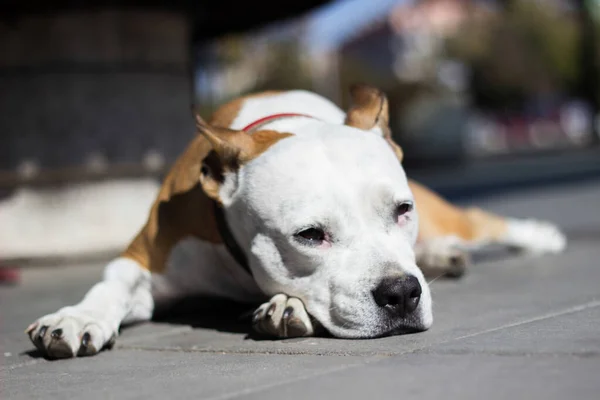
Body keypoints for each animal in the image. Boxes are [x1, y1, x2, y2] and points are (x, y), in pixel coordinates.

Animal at [24, 85, 568, 360]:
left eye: (401, 210)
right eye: (310, 235)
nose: (401, 293)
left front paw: (285, 305)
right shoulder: (144, 259)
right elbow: (110, 286)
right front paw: (78, 317)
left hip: (450, 217)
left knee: (477, 221)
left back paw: (536, 236)